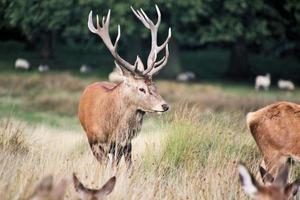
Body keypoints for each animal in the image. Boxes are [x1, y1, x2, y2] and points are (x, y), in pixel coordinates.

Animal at [77, 5, 171, 167]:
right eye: (141, 88)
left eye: (155, 86)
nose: (164, 106)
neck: (110, 127)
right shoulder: (94, 142)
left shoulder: (123, 143)